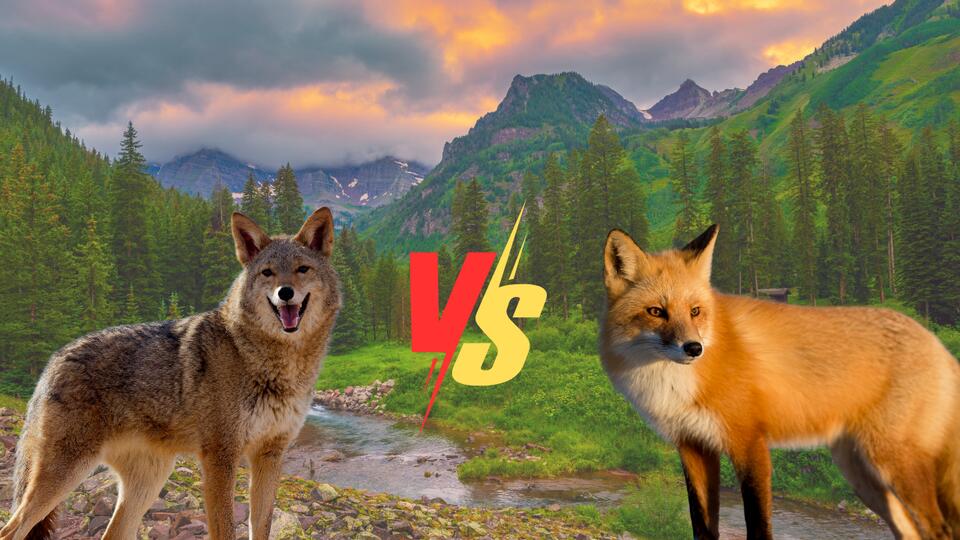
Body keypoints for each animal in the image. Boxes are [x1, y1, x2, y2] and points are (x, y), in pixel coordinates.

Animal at [0, 208, 341, 540]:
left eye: (302, 269)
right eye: (267, 272)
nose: (285, 293)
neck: (276, 363)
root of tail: (53, 360)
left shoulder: (270, 455)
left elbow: (261, 527)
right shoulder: (220, 457)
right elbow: (225, 530)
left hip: (148, 482)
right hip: (67, 473)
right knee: (11, 530)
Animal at [600, 224, 960, 540]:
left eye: (695, 311)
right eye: (656, 311)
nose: (693, 348)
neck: (678, 384)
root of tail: (936, 343)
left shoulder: (750, 445)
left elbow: (759, 528)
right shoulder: (693, 448)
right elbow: (702, 527)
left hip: (895, 465)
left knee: (940, 529)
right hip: (863, 476)